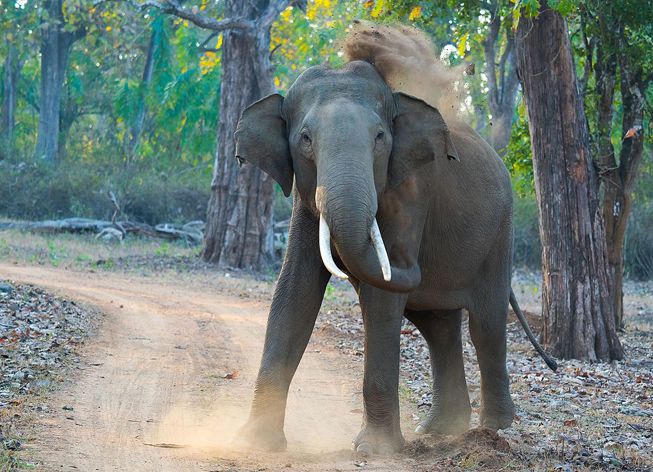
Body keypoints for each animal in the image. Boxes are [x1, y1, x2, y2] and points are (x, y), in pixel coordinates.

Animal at [232, 60, 552, 456]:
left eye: (380, 137)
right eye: (305, 138)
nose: (412, 260)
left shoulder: (412, 192)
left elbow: (381, 297)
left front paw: (374, 449)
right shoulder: (304, 204)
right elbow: (294, 292)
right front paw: (254, 443)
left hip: (498, 237)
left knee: (486, 326)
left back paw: (492, 428)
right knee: (438, 328)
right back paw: (440, 429)